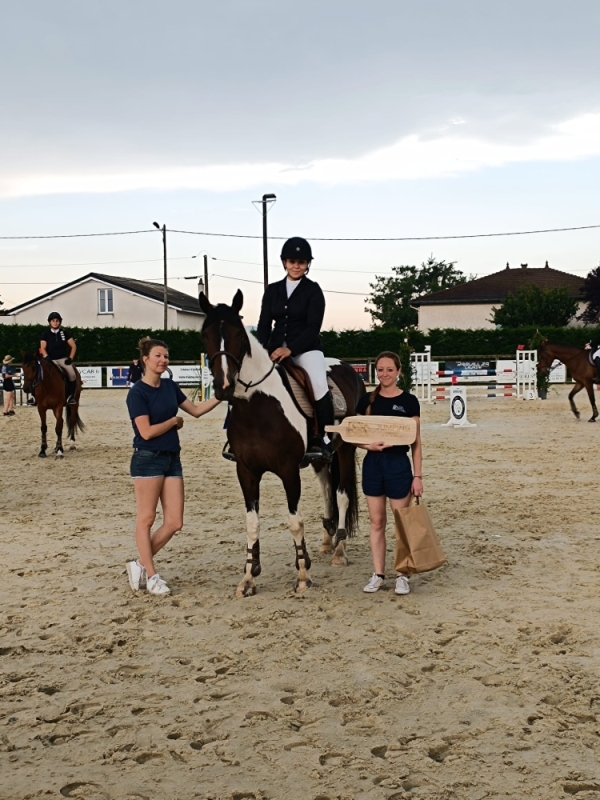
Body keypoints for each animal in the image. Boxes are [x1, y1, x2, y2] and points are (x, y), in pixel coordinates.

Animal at [200, 290, 366, 596]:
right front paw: (248, 578)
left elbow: (295, 522)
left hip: (346, 450)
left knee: (342, 494)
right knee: (327, 490)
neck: (257, 407)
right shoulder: (246, 471)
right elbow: (252, 523)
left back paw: (339, 550)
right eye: (205, 333)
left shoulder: (288, 470)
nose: (224, 386)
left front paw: (302, 575)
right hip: (320, 459)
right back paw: (326, 541)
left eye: (238, 334)